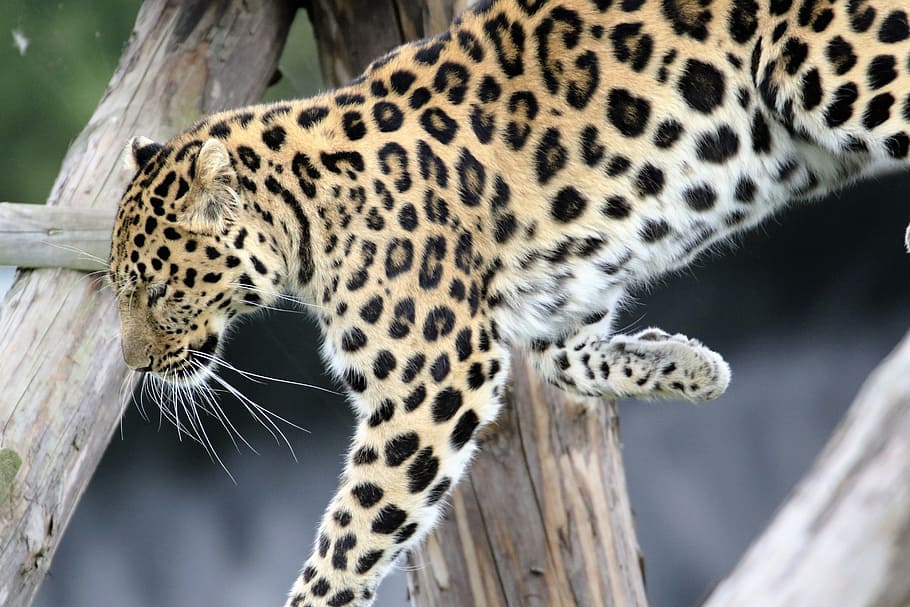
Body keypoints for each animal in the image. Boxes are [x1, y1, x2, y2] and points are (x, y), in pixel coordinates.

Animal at [108, 0, 910, 605]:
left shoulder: (430, 380)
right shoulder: (556, 299)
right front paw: (689, 364)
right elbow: (569, 363)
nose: (136, 366)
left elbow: (355, 532)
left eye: (156, 290)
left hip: (834, 68)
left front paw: (318, 596)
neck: (306, 215)